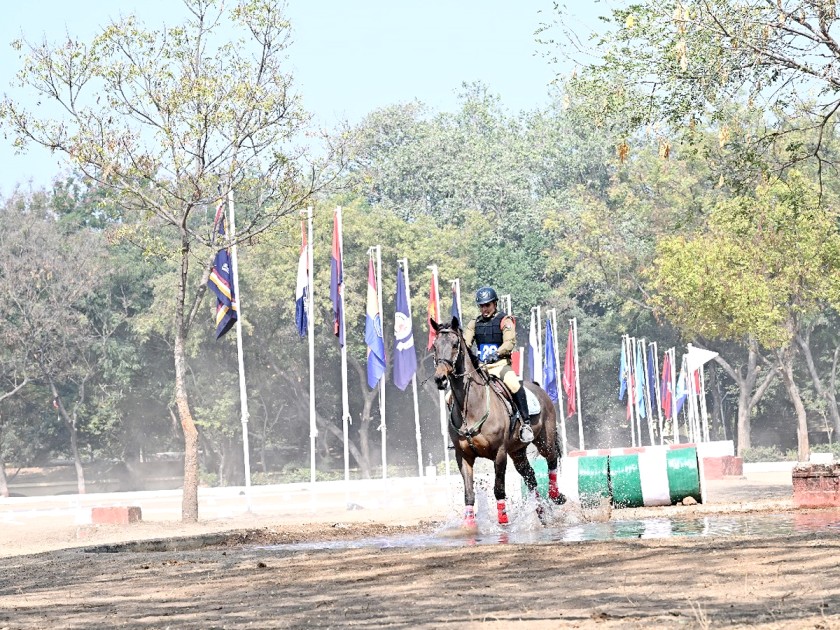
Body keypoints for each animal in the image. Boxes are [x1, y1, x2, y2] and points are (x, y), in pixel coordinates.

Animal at [434, 316, 564, 528]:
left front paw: (503, 521)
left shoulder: (500, 453)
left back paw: (555, 496)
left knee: (551, 459)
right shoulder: (464, 456)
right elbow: (469, 494)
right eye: (434, 346)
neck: (470, 406)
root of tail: (539, 388)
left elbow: (499, 489)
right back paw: (540, 511)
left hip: (544, 439)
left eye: (454, 345)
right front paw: (469, 526)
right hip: (517, 451)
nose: (440, 378)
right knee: (530, 477)